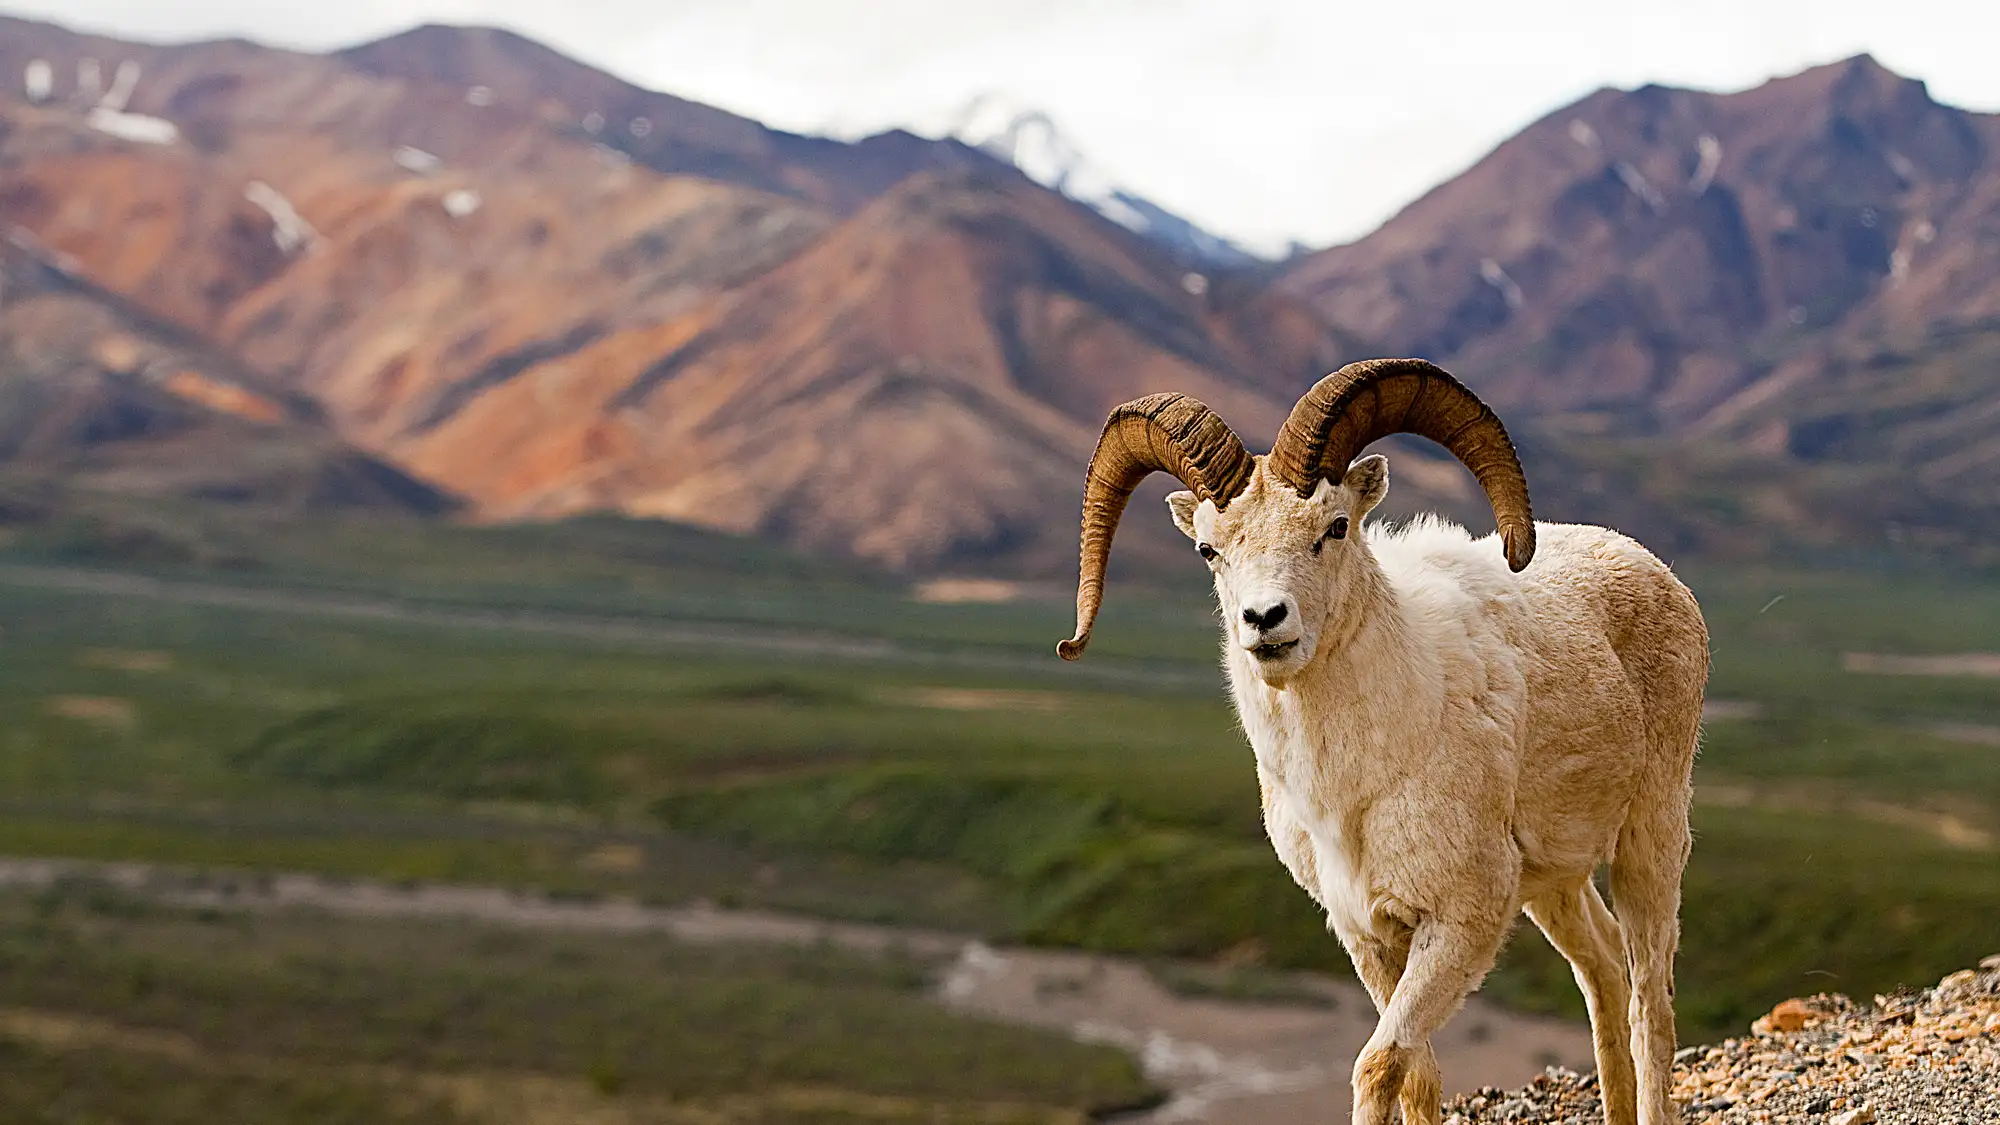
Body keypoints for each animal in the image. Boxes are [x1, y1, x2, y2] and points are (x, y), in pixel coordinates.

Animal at [1057, 358, 1708, 1125]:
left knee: (1650, 1008)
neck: (1352, 792)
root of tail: (1653, 570)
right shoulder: (1368, 934)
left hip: (1649, 841)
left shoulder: (1458, 922)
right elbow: (1419, 1074)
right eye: (1209, 549)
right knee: (1604, 970)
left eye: (1334, 527)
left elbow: (1380, 1063)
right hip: (1555, 884)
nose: (1265, 620)